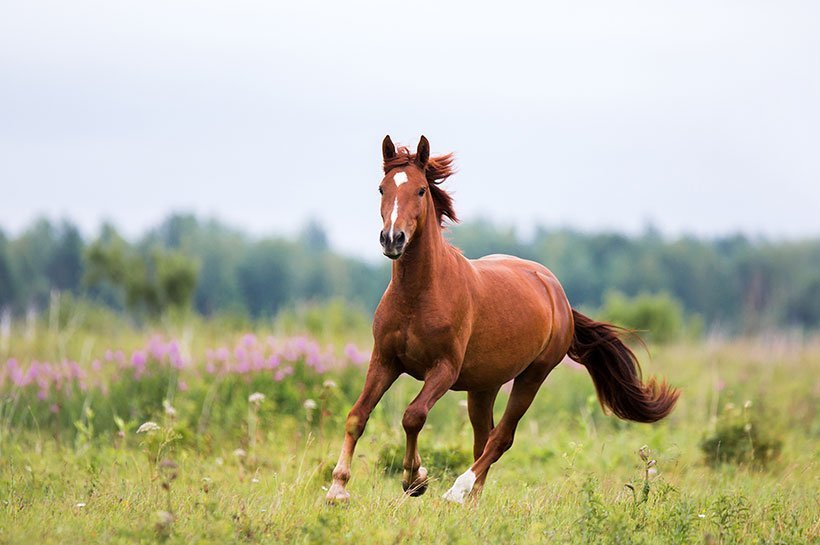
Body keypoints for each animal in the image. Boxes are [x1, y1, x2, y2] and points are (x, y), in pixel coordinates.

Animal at [326, 135, 680, 502]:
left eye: (421, 190)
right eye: (382, 188)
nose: (392, 239)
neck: (418, 295)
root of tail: (558, 295)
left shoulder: (444, 369)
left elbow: (413, 416)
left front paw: (414, 479)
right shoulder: (385, 360)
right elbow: (357, 415)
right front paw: (338, 488)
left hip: (532, 377)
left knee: (501, 438)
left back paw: (458, 491)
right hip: (484, 386)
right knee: (484, 438)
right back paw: (472, 501)